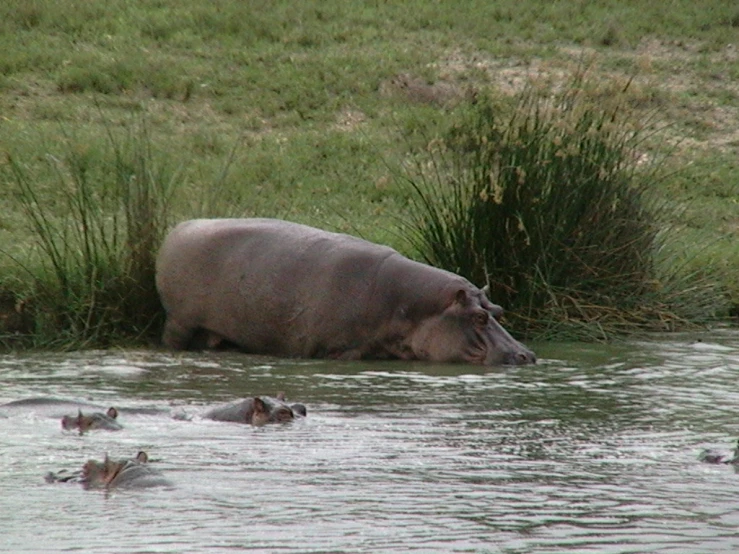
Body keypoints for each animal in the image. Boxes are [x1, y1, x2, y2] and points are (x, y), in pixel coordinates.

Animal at [156, 218, 536, 364]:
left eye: (499, 311)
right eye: (479, 317)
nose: (527, 355)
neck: (412, 308)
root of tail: (179, 228)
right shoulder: (337, 349)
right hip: (179, 323)